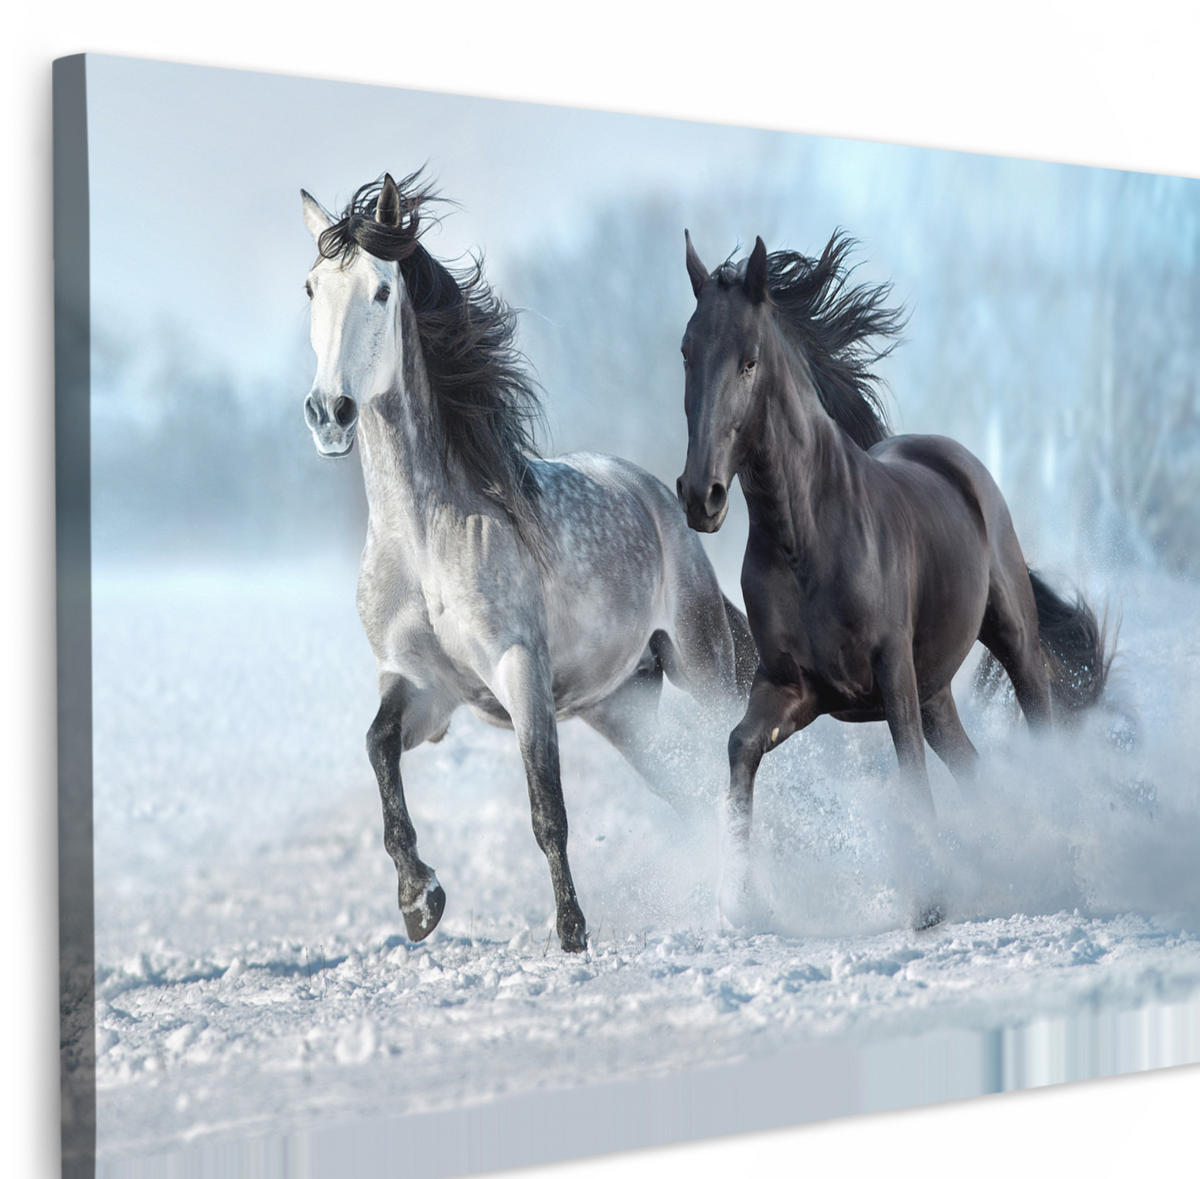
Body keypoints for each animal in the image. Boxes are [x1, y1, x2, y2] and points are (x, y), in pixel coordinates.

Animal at [298, 172, 755, 953]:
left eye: (382, 290)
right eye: (310, 287)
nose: (330, 412)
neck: (423, 541)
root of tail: (661, 499)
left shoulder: (521, 672)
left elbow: (547, 807)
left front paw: (571, 933)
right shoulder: (421, 685)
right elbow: (378, 747)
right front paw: (420, 899)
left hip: (699, 663)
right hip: (620, 706)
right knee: (688, 786)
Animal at [676, 229, 1111, 929]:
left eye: (748, 361)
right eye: (687, 353)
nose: (701, 496)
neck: (807, 540)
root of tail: (956, 460)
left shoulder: (890, 674)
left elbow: (909, 774)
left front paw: (930, 902)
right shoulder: (795, 687)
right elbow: (740, 747)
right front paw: (738, 902)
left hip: (1009, 638)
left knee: (1040, 722)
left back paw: (1062, 869)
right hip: (936, 690)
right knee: (973, 767)